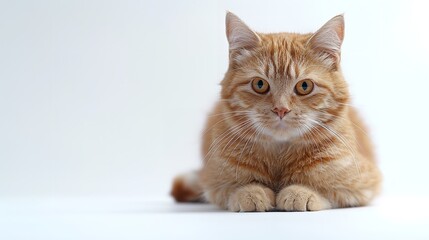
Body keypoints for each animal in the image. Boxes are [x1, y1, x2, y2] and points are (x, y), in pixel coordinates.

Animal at [171, 12, 382, 212]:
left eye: (304, 86)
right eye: (260, 84)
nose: (281, 109)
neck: (279, 156)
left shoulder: (364, 183)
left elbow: (328, 190)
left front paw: (301, 192)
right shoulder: (214, 181)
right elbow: (231, 189)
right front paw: (251, 191)